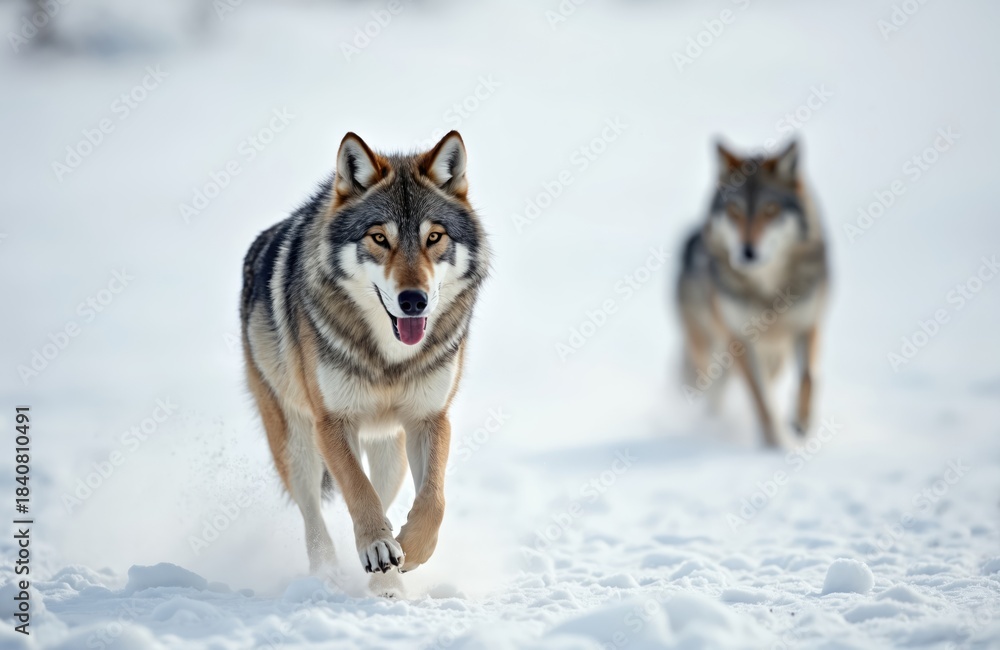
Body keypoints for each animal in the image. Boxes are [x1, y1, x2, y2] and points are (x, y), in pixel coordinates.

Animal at [240, 131, 489, 587]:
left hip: (390, 450)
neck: (390, 359)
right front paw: (377, 545)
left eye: (434, 237)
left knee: (384, 493)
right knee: (313, 517)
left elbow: (433, 500)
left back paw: (388, 583)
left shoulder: (430, 417)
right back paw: (330, 575)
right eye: (379, 238)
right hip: (295, 444)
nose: (413, 301)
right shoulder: (332, 422)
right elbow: (357, 490)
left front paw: (409, 550)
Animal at [676, 139, 828, 446]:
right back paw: (711, 425)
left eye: (770, 209)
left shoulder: (808, 325)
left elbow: (808, 377)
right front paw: (775, 446)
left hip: (773, 353)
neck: (768, 291)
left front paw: (800, 424)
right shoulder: (741, 341)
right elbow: (762, 401)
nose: (747, 252)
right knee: (713, 391)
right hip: (710, 349)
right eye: (734, 210)